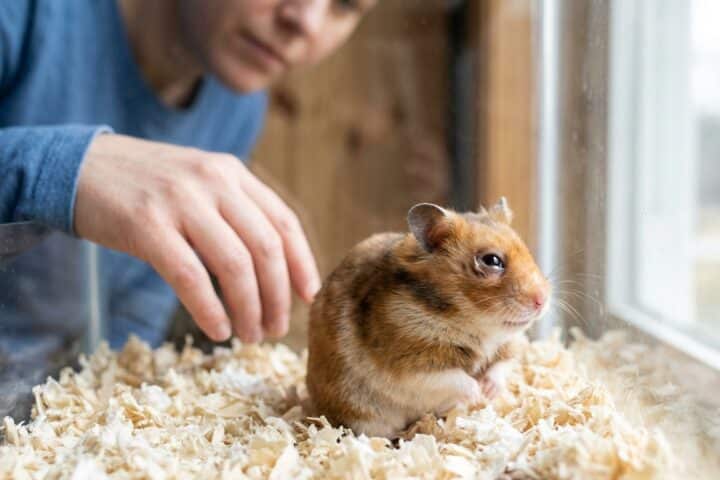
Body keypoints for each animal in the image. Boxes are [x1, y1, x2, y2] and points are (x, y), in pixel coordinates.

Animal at [306, 198, 551, 438]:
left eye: (527, 252)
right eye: (491, 260)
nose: (542, 300)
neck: (476, 325)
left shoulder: (510, 345)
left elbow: (502, 366)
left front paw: (488, 392)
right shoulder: (412, 365)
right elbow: (456, 378)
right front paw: (477, 394)